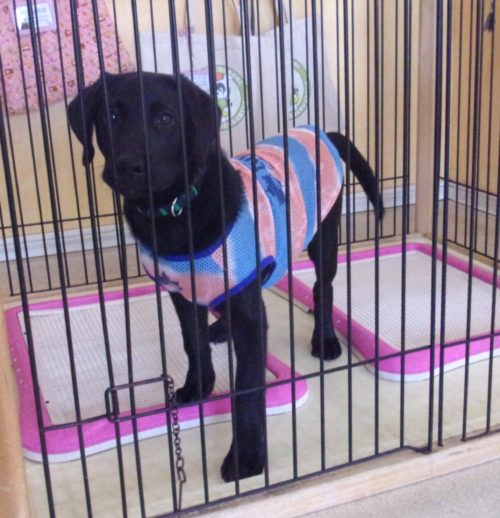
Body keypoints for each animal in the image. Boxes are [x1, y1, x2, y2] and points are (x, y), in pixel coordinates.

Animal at [68, 72, 383, 482]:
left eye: (165, 119)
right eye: (111, 116)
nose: (128, 166)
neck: (176, 209)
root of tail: (321, 132)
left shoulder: (249, 315)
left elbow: (246, 390)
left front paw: (246, 460)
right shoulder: (182, 293)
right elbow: (193, 343)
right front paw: (198, 387)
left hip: (323, 234)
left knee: (323, 288)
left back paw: (326, 339)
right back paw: (221, 329)